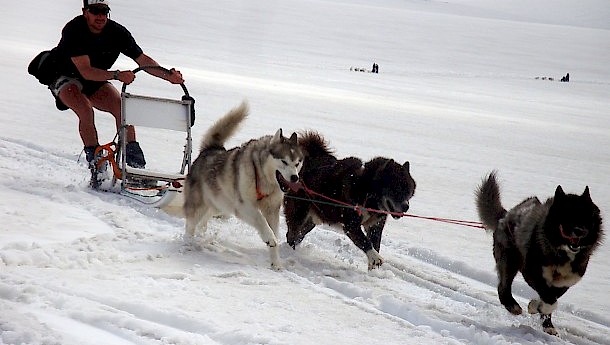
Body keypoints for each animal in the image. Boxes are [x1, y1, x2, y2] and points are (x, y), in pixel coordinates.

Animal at [182, 102, 302, 268]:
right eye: (284, 161)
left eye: (297, 163)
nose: (295, 177)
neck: (263, 178)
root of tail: (210, 150)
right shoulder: (244, 206)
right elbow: (261, 220)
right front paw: (269, 238)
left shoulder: (272, 210)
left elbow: (274, 234)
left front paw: (276, 264)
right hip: (200, 204)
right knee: (191, 223)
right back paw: (188, 242)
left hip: (219, 204)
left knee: (205, 218)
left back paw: (201, 233)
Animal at [282, 131, 416, 268]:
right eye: (396, 190)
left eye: (409, 192)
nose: (406, 206)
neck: (367, 190)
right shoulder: (351, 224)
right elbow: (365, 241)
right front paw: (375, 257)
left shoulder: (375, 226)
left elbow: (375, 243)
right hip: (299, 212)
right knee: (292, 234)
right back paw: (290, 252)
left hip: (313, 219)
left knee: (299, 235)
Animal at [472, 171, 600, 334]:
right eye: (567, 214)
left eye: (586, 216)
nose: (579, 230)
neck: (561, 252)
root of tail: (505, 216)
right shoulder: (532, 272)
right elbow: (550, 301)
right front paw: (536, 307)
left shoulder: (565, 282)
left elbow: (551, 298)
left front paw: (543, 317)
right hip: (509, 260)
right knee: (503, 286)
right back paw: (512, 305)